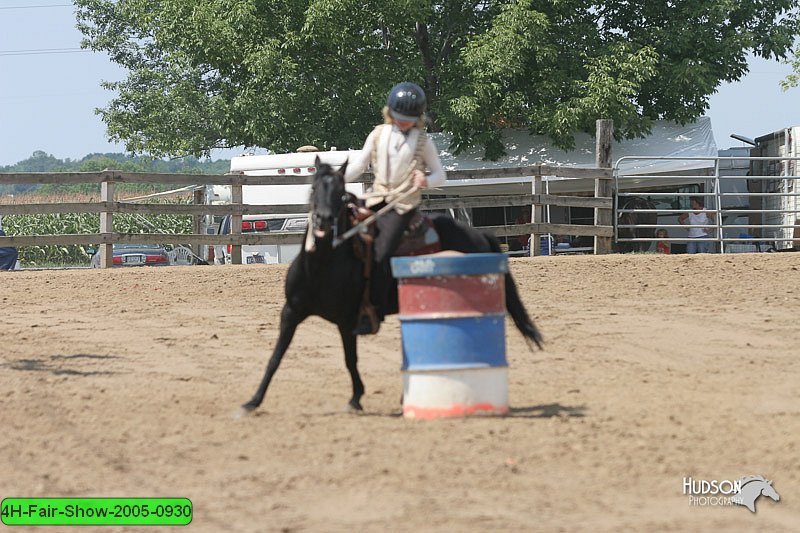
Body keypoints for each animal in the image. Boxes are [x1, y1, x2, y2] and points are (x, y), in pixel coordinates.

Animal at [242, 158, 544, 412]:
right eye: (314, 187)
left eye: (341, 193)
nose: (324, 220)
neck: (322, 265)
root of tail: (478, 235)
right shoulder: (291, 312)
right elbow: (275, 357)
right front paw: (253, 401)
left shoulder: (347, 319)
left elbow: (350, 359)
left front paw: (356, 398)